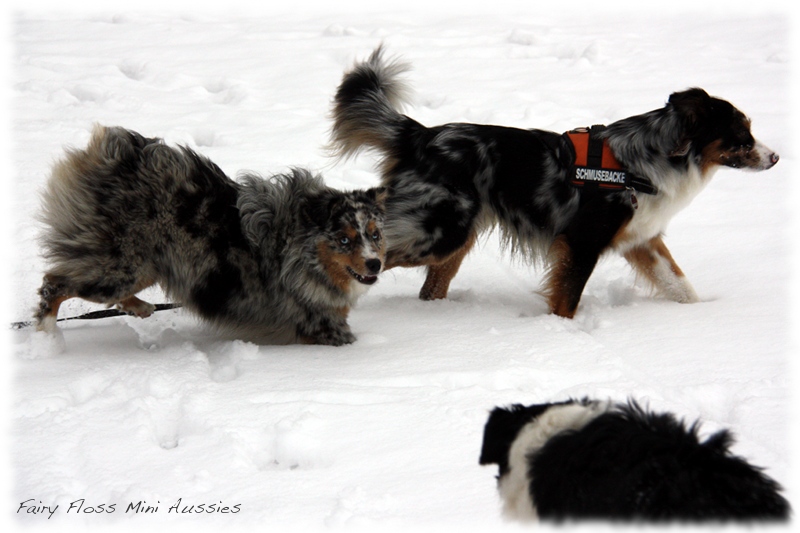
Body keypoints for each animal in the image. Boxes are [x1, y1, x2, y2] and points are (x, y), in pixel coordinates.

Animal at [328, 46, 780, 316]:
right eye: (742, 134)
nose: (775, 158)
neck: (652, 159)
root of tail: (421, 134)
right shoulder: (581, 241)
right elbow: (567, 299)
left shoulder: (642, 239)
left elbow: (679, 284)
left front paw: (702, 315)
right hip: (435, 231)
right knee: (368, 253)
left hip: (455, 237)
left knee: (431, 285)